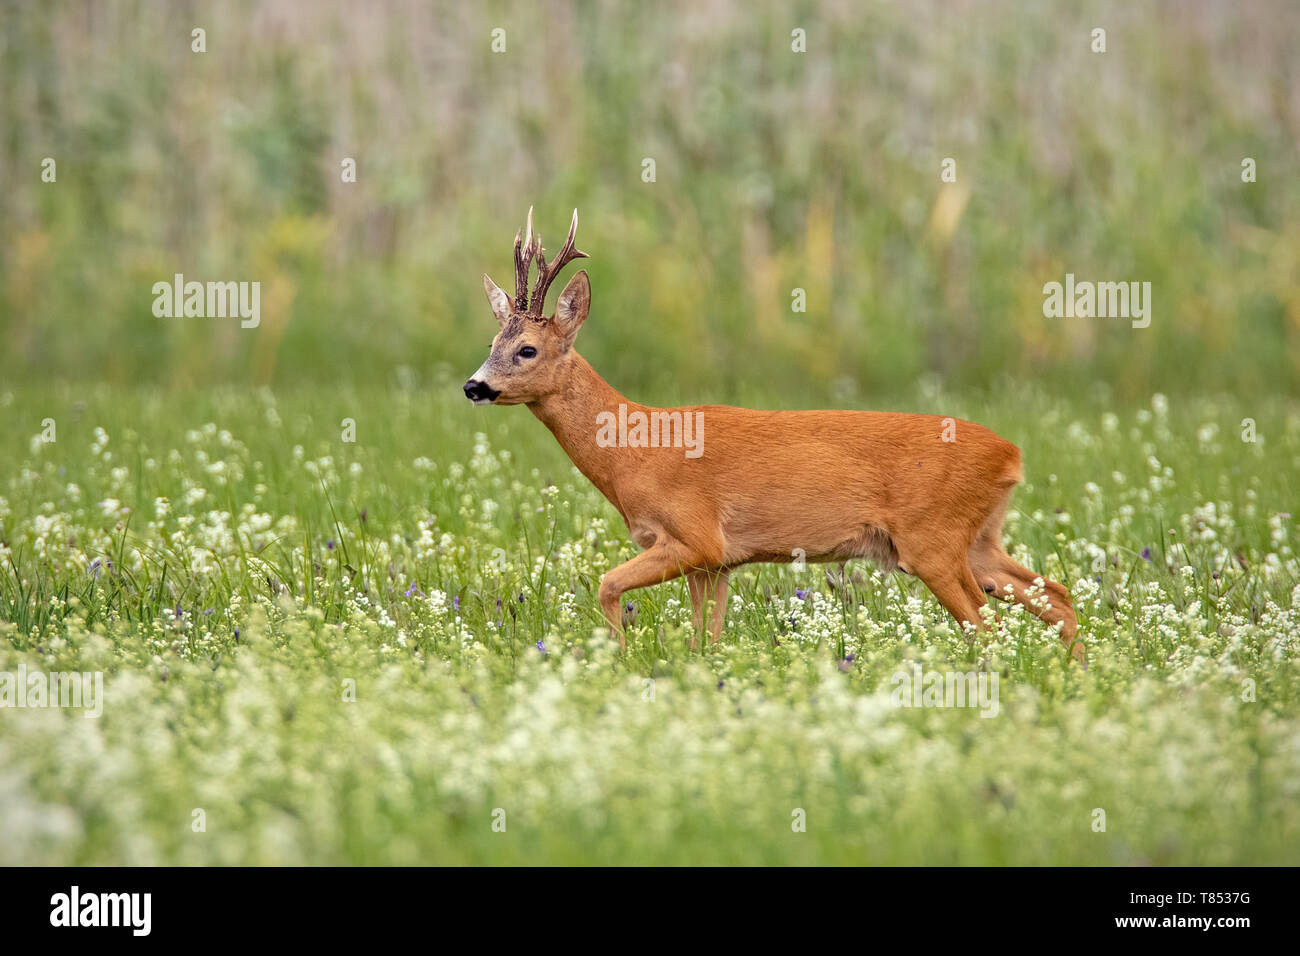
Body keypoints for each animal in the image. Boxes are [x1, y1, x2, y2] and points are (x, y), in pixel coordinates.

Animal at [462, 206, 1081, 660]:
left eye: (527, 349)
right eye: (491, 343)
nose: (474, 386)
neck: (634, 450)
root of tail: (1012, 454)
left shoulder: (695, 535)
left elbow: (608, 585)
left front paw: (620, 659)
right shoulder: (716, 563)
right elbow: (705, 639)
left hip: (933, 539)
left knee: (989, 625)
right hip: (978, 538)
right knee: (1057, 595)